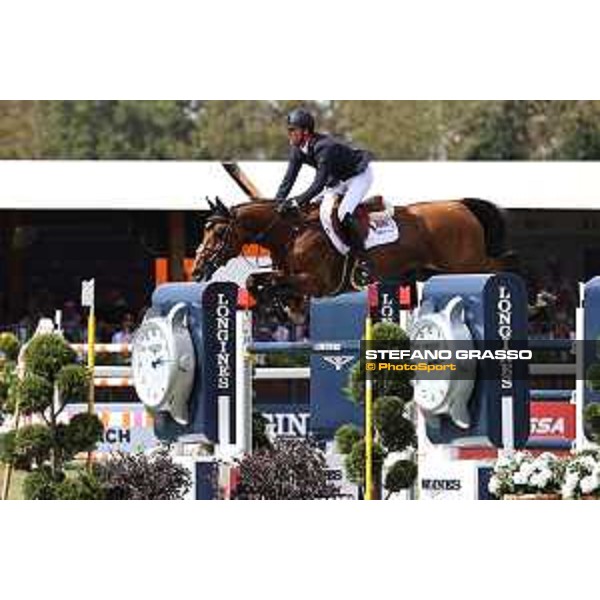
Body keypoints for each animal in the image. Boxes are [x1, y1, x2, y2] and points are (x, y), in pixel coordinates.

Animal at [192, 195, 516, 312]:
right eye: (204, 230)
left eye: (218, 233)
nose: (196, 270)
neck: (292, 232)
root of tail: (461, 205)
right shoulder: (286, 273)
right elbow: (255, 281)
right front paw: (284, 307)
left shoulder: (316, 283)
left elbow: (273, 284)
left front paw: (287, 308)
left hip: (467, 267)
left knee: (496, 270)